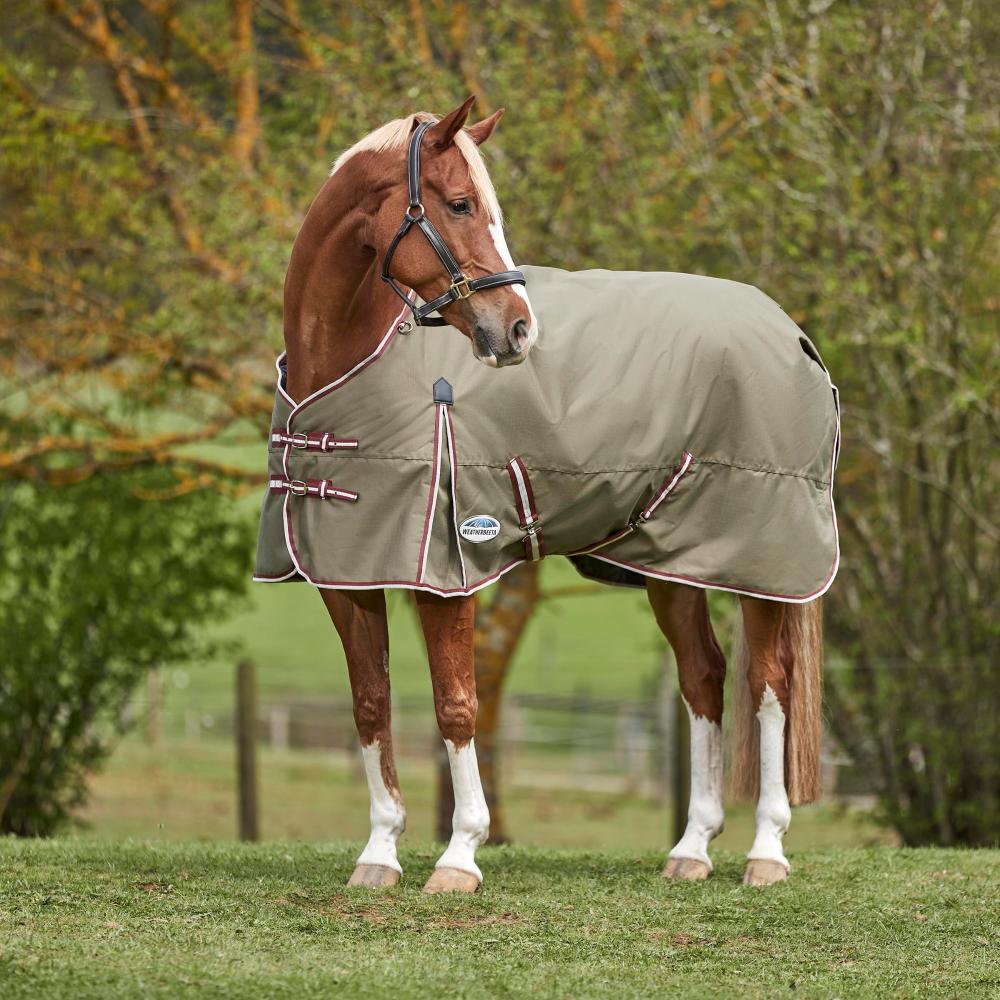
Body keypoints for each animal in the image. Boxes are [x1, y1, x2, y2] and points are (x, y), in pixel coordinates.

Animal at [264, 97, 835, 893]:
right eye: (461, 204)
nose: (517, 330)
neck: (354, 368)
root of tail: (791, 332)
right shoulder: (346, 573)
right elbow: (371, 703)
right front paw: (378, 855)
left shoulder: (446, 569)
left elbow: (457, 705)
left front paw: (459, 856)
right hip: (672, 561)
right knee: (704, 677)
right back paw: (691, 848)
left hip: (761, 559)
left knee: (770, 683)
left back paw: (767, 852)